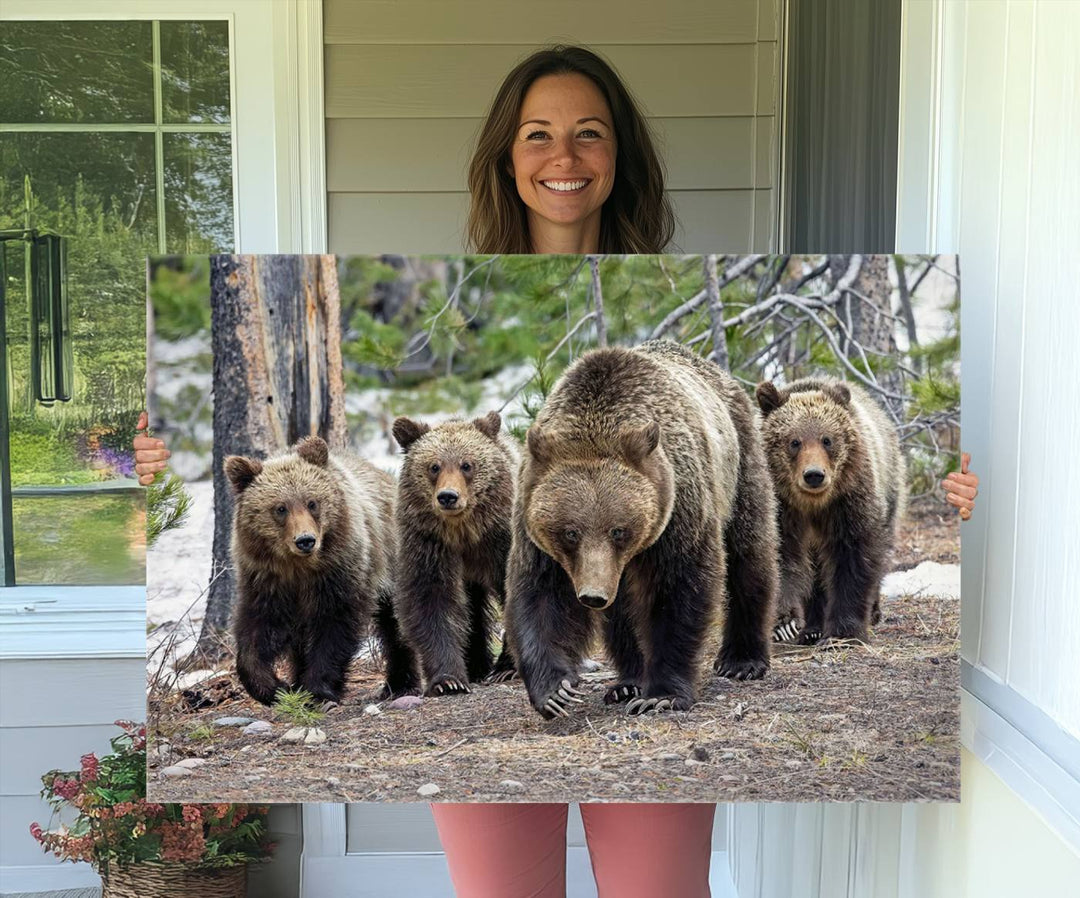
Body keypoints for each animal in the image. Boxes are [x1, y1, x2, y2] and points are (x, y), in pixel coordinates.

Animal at [224, 436, 416, 708]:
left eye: (312, 502)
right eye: (280, 508)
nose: (305, 540)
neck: (300, 568)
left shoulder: (339, 571)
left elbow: (334, 625)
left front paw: (317, 690)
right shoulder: (266, 580)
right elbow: (257, 630)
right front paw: (275, 687)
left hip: (392, 558)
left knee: (396, 622)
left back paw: (400, 682)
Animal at [393, 410, 518, 700]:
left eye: (467, 465)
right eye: (434, 466)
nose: (448, 496)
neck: (464, 532)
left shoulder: (500, 541)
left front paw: (507, 667)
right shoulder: (429, 544)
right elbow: (431, 601)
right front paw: (449, 680)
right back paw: (476, 665)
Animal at [501, 341, 781, 721]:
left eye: (618, 530)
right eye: (570, 532)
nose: (592, 595)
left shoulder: (678, 507)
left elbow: (678, 589)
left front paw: (662, 694)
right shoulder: (534, 523)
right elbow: (540, 595)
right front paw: (555, 691)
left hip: (739, 463)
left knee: (749, 553)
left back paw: (742, 659)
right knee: (621, 612)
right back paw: (627, 681)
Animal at [756, 380, 907, 648]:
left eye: (827, 439)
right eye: (794, 441)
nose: (814, 474)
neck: (813, 504)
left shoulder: (848, 502)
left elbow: (852, 558)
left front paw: (843, 631)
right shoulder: (781, 508)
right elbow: (781, 558)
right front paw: (784, 624)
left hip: (890, 488)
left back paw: (873, 611)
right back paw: (813, 628)